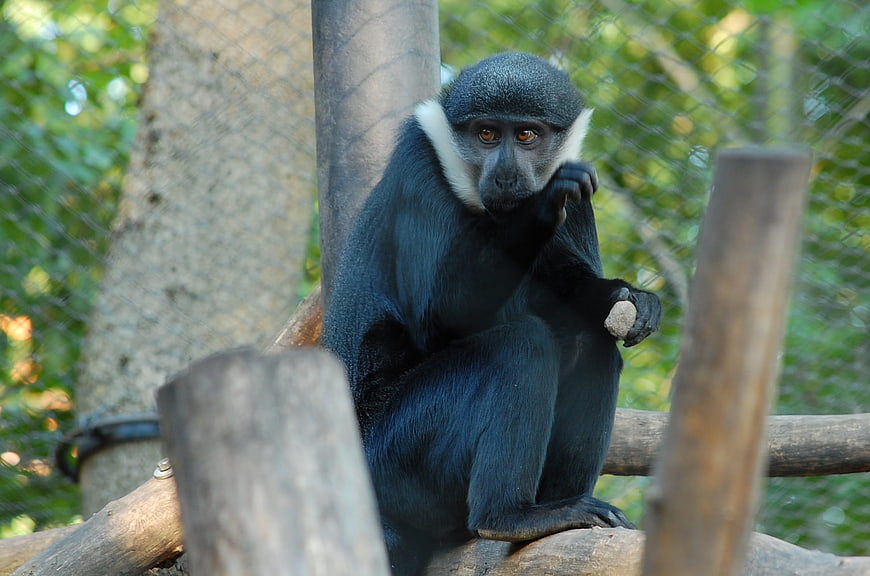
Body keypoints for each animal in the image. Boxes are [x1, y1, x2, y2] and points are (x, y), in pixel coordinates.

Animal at [323, 52, 662, 576]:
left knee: (591, 341)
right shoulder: (419, 164)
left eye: (525, 135)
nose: (505, 176)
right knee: (518, 345)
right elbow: (436, 319)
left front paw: (627, 297)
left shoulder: (581, 199)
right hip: (393, 454)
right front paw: (542, 205)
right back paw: (509, 517)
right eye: (486, 134)